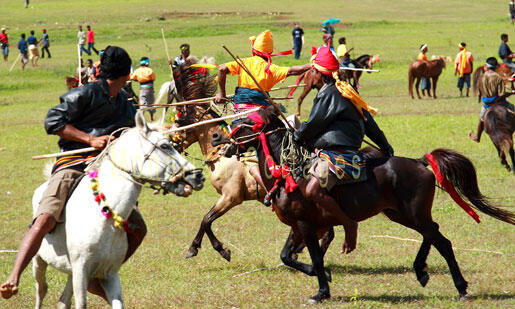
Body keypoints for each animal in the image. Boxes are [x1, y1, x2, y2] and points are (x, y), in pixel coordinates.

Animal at [31, 111, 206, 308]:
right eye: (165, 146)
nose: (198, 176)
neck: (102, 219)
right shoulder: (81, 272)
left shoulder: (109, 275)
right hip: (39, 261)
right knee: (41, 290)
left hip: (70, 273)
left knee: (63, 300)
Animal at [226, 107, 515, 302]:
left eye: (243, 124)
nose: (224, 143)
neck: (289, 172)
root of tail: (419, 162)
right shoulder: (298, 226)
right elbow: (287, 257)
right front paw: (325, 278)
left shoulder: (306, 225)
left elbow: (315, 259)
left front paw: (321, 291)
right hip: (402, 214)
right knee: (432, 233)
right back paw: (421, 270)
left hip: (413, 214)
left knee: (442, 242)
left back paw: (461, 287)